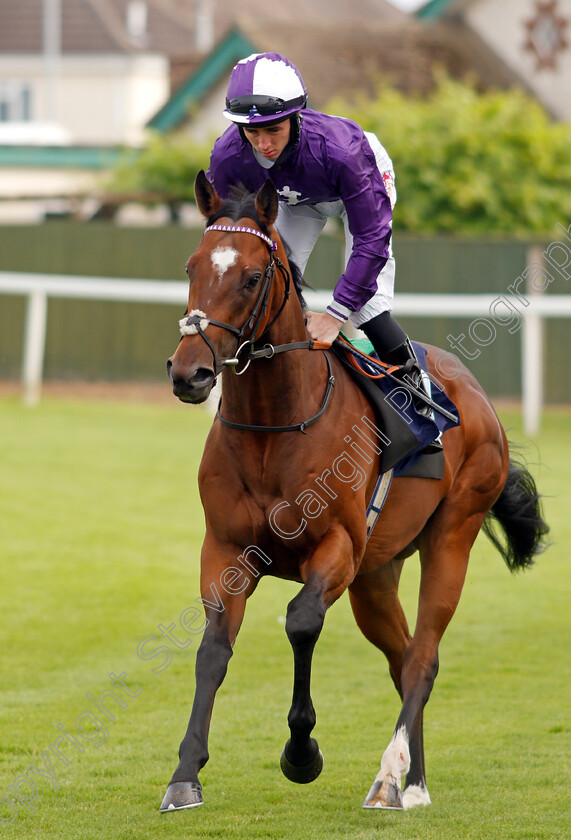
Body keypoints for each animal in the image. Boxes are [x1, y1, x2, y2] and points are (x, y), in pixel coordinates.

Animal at [162, 172, 548, 812]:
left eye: (251, 277)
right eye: (191, 266)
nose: (188, 372)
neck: (275, 428)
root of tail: (476, 397)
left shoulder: (338, 546)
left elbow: (301, 621)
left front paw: (301, 754)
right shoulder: (225, 550)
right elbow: (213, 648)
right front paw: (185, 774)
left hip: (451, 538)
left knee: (423, 658)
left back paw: (390, 778)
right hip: (376, 574)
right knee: (403, 656)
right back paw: (414, 779)